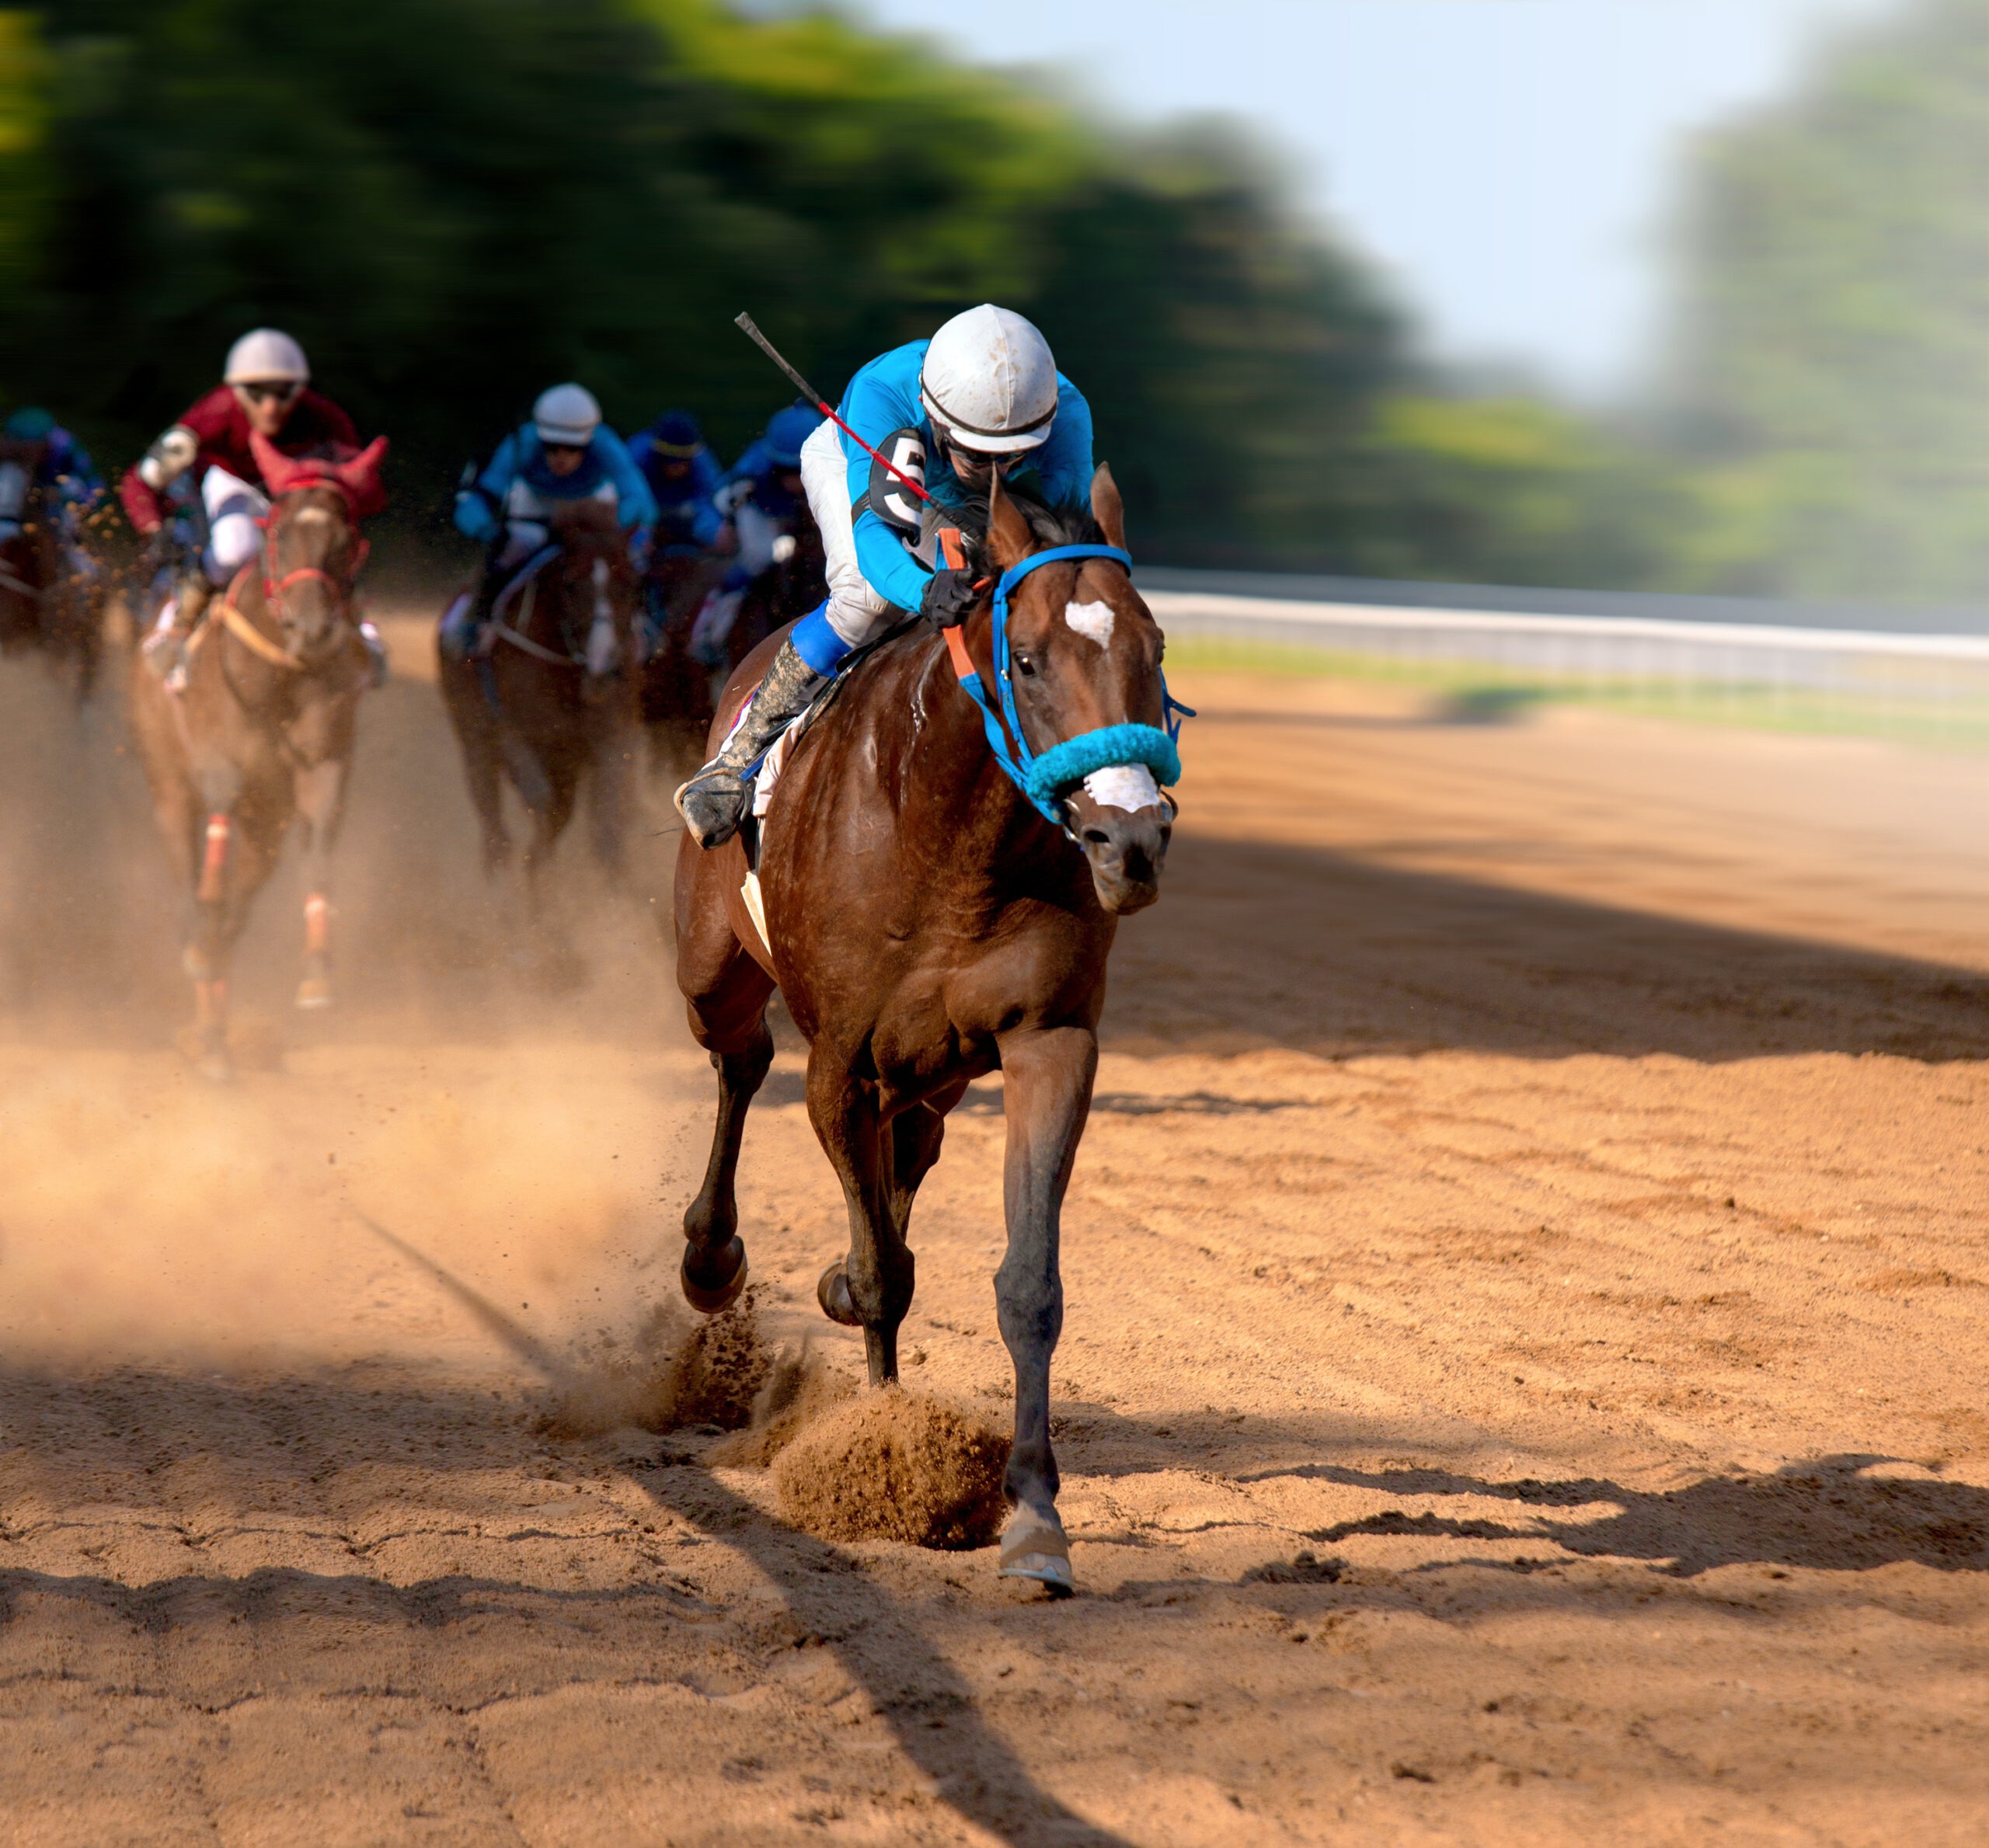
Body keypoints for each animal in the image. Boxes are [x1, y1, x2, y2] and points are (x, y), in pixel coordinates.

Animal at [129, 431, 388, 1074]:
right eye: (279, 532)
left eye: (346, 540)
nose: (312, 628)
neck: (283, 672)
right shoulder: (218, 757)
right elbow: (215, 836)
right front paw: (205, 935)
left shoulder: (323, 765)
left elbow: (316, 850)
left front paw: (317, 973)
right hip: (168, 787)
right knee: (190, 880)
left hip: (267, 820)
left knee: (241, 902)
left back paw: (216, 1029)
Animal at [439, 489, 640, 895]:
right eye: (570, 584)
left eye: (630, 583)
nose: (604, 668)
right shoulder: (514, 734)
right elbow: (545, 809)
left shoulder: (609, 736)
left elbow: (608, 827)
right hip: (476, 743)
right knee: (496, 830)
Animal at [676, 469, 1177, 1591]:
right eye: (1026, 659)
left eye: (1155, 649)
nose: (1128, 841)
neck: (948, 837)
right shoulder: (839, 1064)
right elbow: (877, 1274)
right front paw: (883, 1457)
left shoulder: (1049, 1039)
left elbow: (1026, 1285)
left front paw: (1034, 1520)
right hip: (711, 964)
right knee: (739, 1060)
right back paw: (710, 1257)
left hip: (936, 1076)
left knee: (909, 1146)